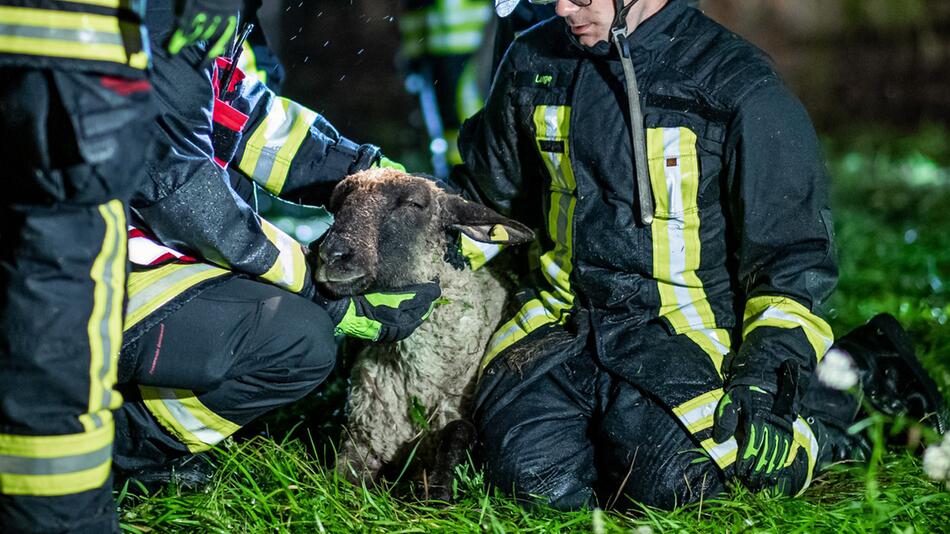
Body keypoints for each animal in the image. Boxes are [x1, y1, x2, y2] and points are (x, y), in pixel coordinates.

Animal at [314, 169, 536, 502]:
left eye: (414, 204)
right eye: (336, 204)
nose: (331, 255)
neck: (418, 380)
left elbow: (458, 431)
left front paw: (437, 491)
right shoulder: (364, 437)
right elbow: (341, 482)